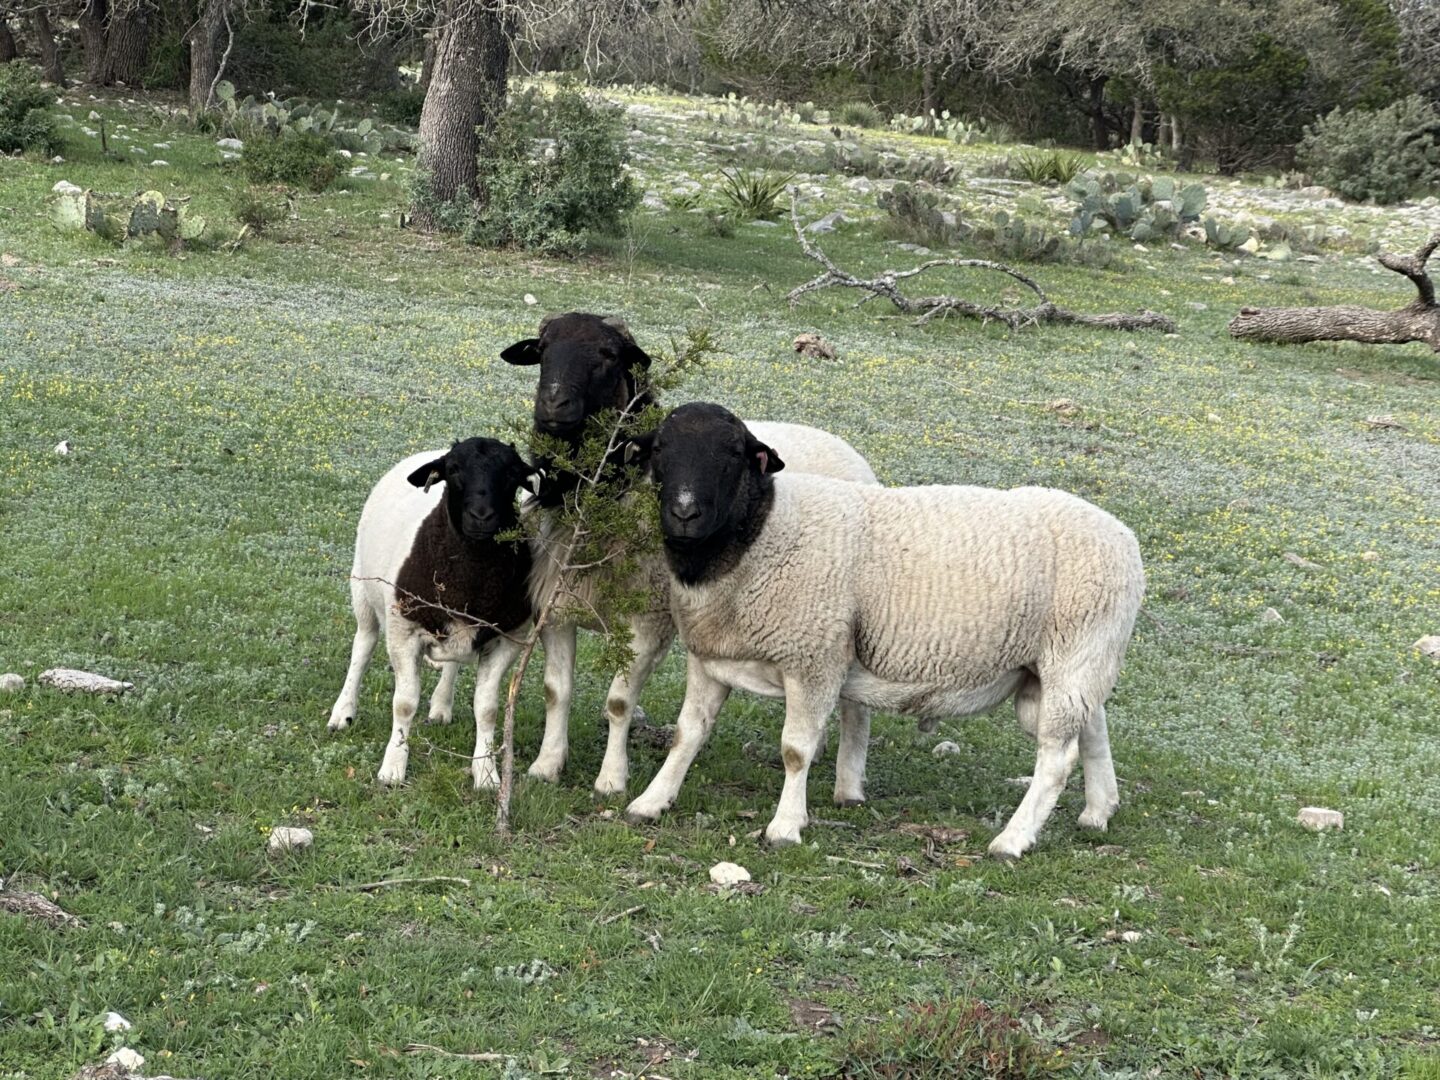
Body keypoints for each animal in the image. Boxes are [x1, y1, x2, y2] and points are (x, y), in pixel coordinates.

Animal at [328, 438, 544, 789]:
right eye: (453, 470)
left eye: (513, 473)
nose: (481, 516)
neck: (471, 579)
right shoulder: (403, 632)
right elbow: (404, 704)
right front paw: (393, 768)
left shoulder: (508, 638)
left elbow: (487, 709)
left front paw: (486, 774)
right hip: (362, 589)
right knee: (362, 647)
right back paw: (342, 712)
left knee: (451, 664)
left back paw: (442, 706)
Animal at [500, 313, 880, 799]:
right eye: (542, 348)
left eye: (608, 355)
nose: (552, 403)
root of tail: (847, 449)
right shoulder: (559, 605)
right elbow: (555, 690)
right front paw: (547, 765)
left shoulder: (649, 618)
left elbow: (619, 702)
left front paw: (611, 779)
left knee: (858, 706)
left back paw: (849, 785)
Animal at [621, 402, 1146, 859]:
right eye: (661, 449)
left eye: (734, 454)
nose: (684, 514)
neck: (759, 534)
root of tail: (1124, 536)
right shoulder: (710, 656)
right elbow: (687, 734)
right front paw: (650, 801)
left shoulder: (815, 656)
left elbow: (795, 751)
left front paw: (786, 826)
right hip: (1070, 663)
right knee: (1094, 727)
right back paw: (1098, 811)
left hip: (1076, 652)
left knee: (1056, 760)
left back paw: (1012, 841)